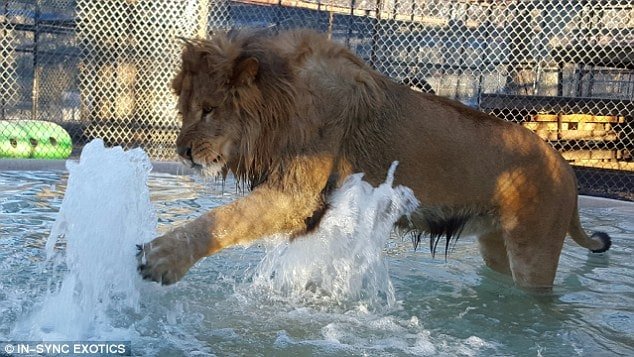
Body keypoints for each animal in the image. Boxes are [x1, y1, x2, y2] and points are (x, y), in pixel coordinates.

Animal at [136, 27, 608, 290]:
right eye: (185, 108)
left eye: (209, 109)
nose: (182, 151)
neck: (283, 100)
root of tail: (566, 169)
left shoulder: (295, 195)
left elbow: (223, 220)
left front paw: (160, 257)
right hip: (495, 245)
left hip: (534, 251)